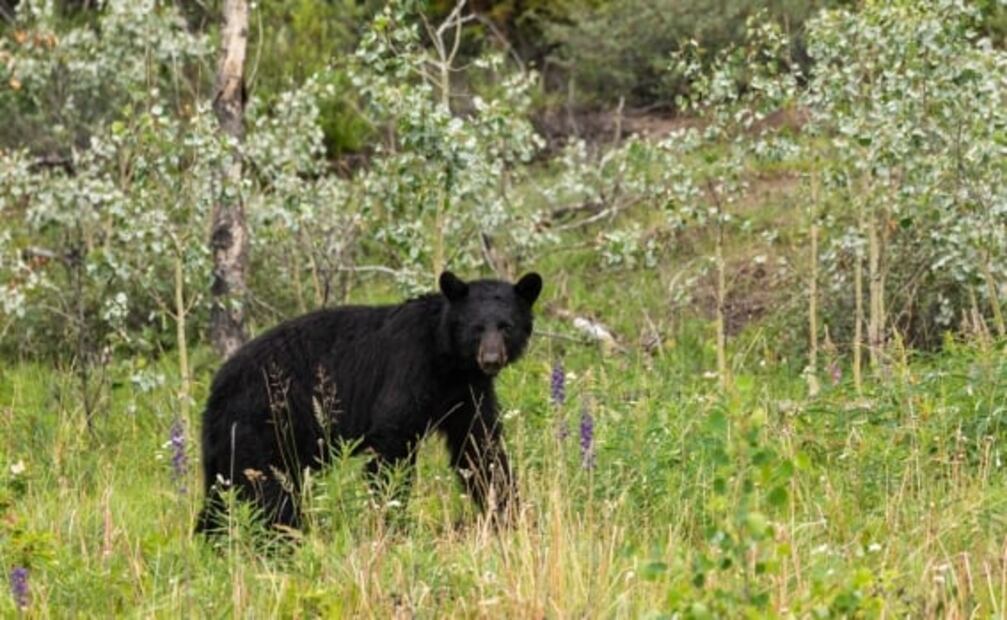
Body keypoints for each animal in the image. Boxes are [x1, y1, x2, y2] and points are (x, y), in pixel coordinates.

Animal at [195, 271, 543, 534]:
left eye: (506, 326)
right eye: (476, 328)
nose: (491, 359)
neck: (447, 361)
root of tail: (215, 389)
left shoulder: (466, 392)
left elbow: (480, 448)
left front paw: (511, 513)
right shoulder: (409, 368)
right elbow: (392, 440)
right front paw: (392, 521)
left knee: (220, 497)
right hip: (261, 425)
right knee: (268, 493)